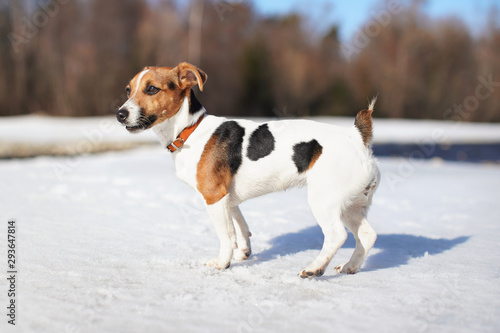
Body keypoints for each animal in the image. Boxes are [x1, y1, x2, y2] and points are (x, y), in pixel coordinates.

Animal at [116, 62, 378, 278]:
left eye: (152, 89)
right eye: (128, 90)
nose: (120, 114)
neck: (190, 129)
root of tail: (357, 137)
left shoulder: (214, 196)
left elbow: (225, 235)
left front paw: (222, 263)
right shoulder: (228, 198)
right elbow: (240, 227)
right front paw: (243, 251)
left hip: (324, 200)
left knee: (337, 235)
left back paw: (314, 268)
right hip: (351, 205)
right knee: (367, 235)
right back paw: (350, 266)